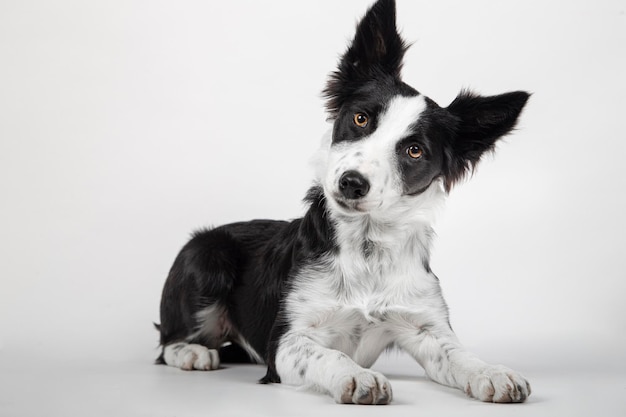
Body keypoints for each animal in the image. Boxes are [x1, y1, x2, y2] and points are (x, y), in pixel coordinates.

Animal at [154, 0, 528, 404]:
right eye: (360, 118)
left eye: (414, 151)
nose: (352, 183)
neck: (367, 249)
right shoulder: (286, 341)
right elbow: (328, 355)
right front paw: (358, 376)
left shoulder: (426, 326)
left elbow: (459, 355)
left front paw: (493, 372)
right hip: (207, 256)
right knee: (167, 343)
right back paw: (191, 352)